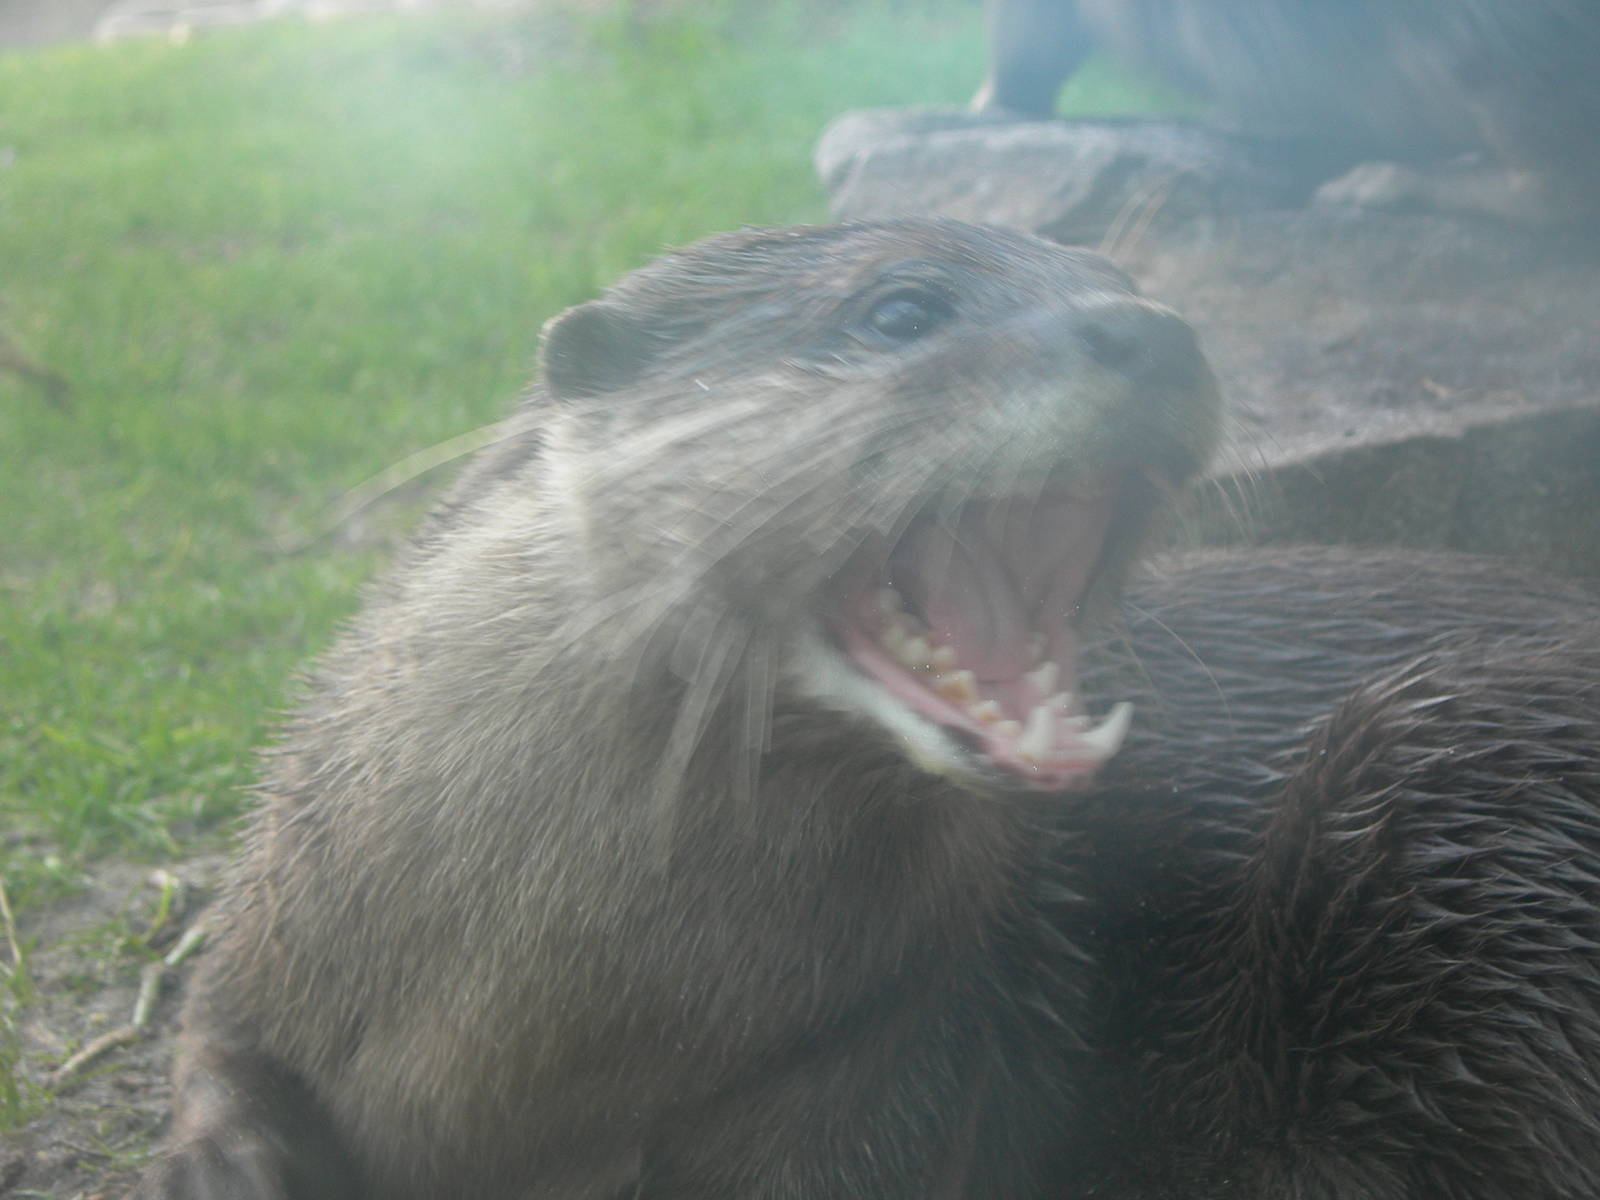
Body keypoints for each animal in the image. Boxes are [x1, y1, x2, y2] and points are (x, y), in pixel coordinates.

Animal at [134, 218, 1222, 1199]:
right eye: (903, 311)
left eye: (1123, 280)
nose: (1161, 331)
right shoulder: (270, 924)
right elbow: (211, 1044)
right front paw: (221, 1169)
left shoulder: (900, 1052)